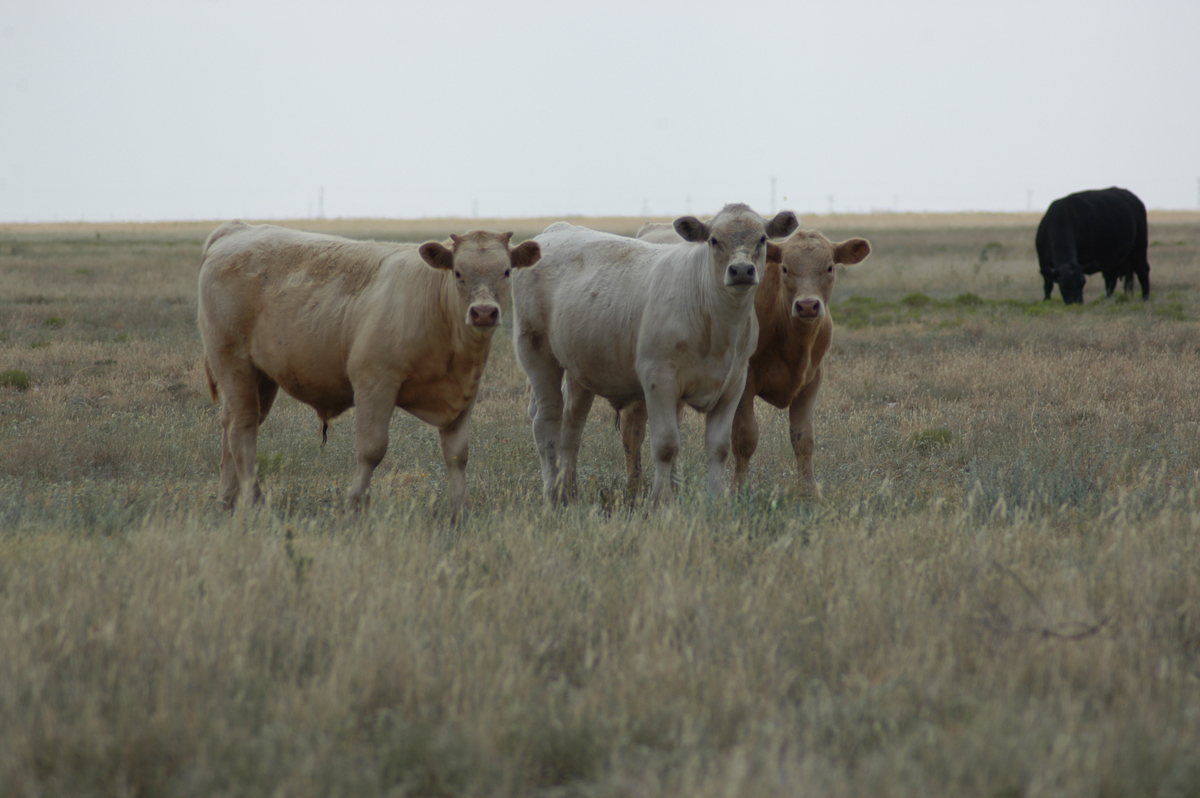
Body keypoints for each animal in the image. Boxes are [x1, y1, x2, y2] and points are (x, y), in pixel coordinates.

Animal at [197, 221, 540, 520]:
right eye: (458, 272)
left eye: (506, 271)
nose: (483, 312)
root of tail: (237, 229)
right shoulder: (375, 383)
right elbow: (372, 449)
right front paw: (354, 506)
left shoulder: (464, 394)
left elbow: (457, 455)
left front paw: (459, 513)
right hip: (234, 364)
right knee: (242, 430)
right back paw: (253, 501)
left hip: (262, 377)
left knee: (231, 426)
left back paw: (227, 500)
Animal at [512, 203, 799, 505]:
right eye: (713, 240)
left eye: (762, 239)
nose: (741, 270)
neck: (718, 325)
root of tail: (556, 229)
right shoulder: (659, 378)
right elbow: (666, 444)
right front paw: (661, 499)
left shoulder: (734, 383)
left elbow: (718, 447)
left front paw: (717, 498)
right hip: (536, 351)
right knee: (547, 420)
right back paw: (552, 492)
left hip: (580, 368)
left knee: (572, 424)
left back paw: (568, 490)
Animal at [618, 226, 871, 497]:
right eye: (785, 268)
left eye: (829, 268)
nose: (807, 305)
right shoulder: (744, 382)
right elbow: (745, 437)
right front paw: (739, 490)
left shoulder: (812, 381)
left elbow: (803, 438)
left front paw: (809, 491)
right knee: (633, 430)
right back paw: (633, 486)